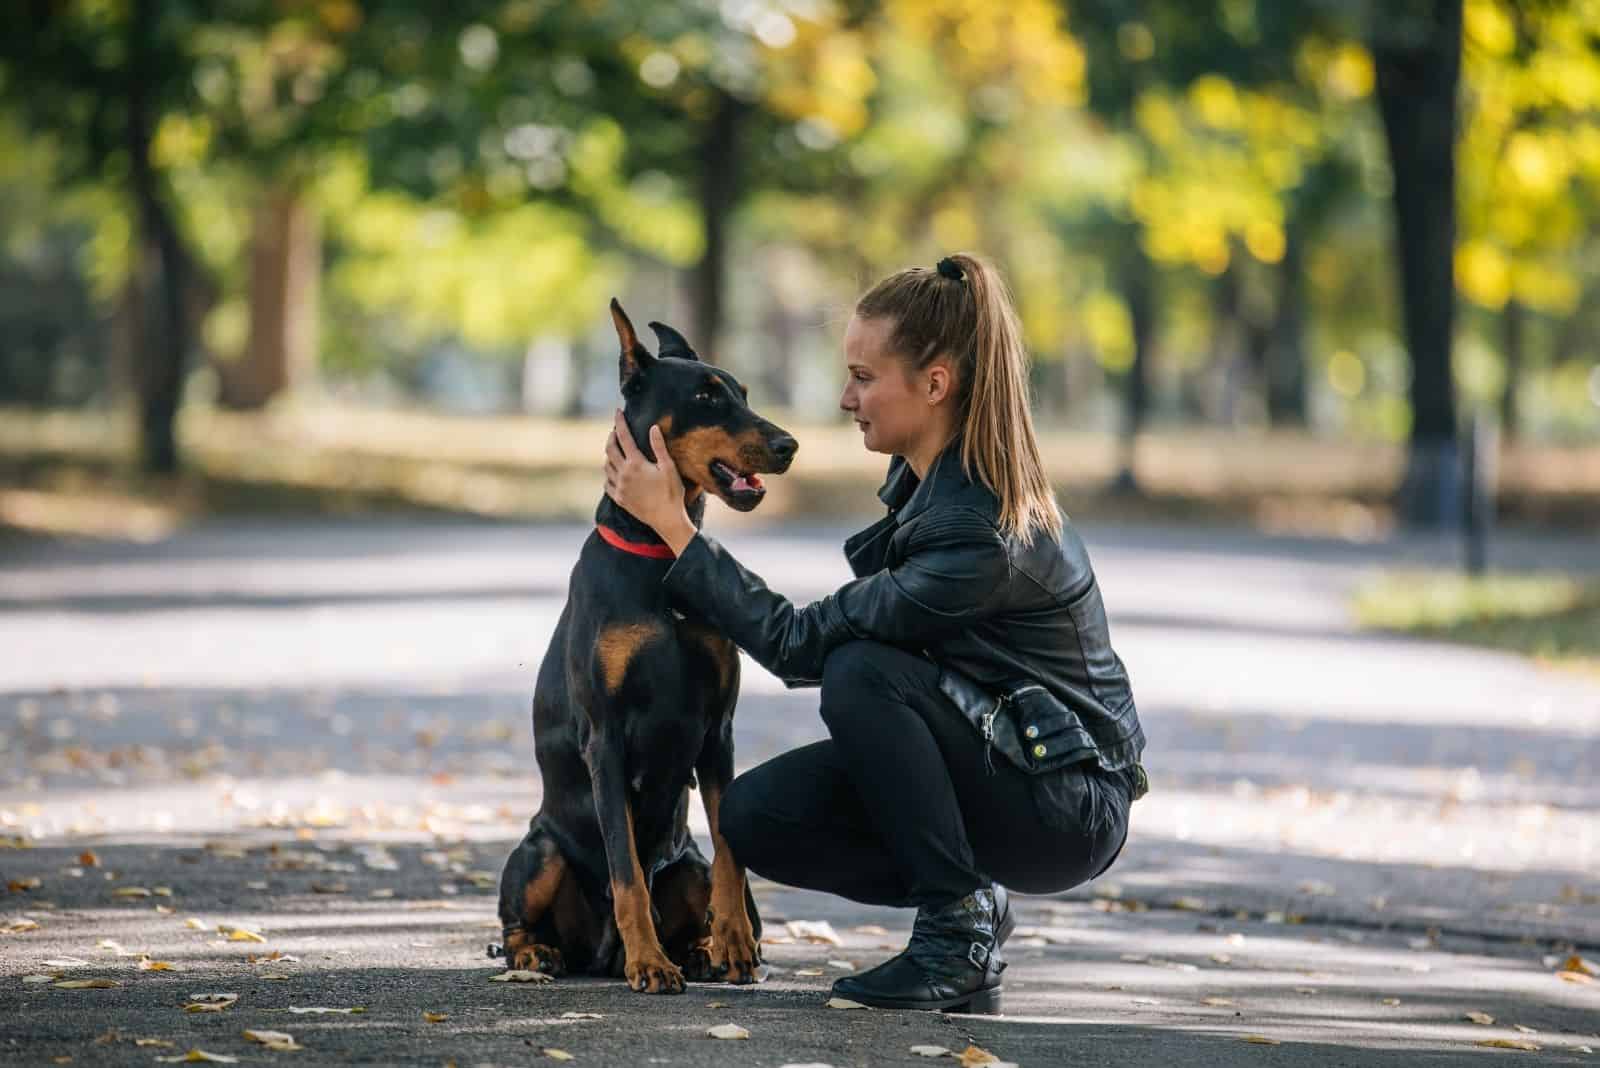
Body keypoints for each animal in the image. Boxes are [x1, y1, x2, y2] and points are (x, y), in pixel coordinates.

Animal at [496, 298, 796, 991]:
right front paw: (650, 963)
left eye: (744, 392)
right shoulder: (604, 736)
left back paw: (700, 949)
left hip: (684, 862)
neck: (661, 558)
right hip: (539, 851)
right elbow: (625, 868)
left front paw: (733, 945)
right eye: (707, 397)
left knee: (702, 876)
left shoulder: (719, 730)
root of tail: (595, 954)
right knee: (516, 921)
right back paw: (541, 955)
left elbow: (731, 857)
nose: (788, 445)